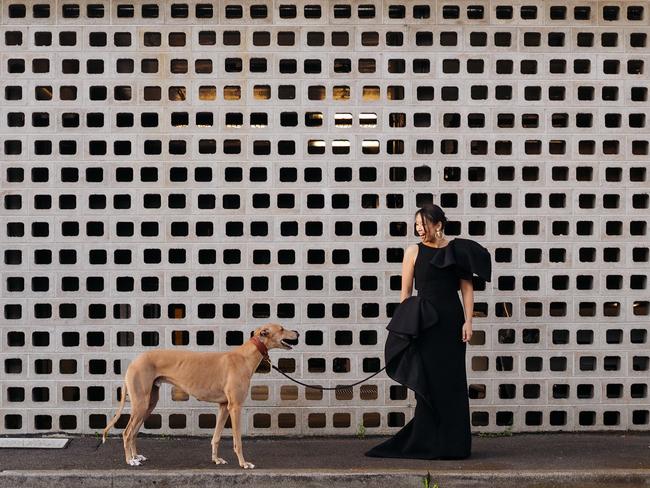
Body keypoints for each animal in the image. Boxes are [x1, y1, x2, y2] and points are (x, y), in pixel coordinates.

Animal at [102, 324, 298, 468]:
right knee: (127, 432)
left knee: (134, 432)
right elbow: (238, 440)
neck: (245, 356)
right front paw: (243, 463)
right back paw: (130, 460)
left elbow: (216, 437)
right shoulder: (235, 407)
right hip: (141, 403)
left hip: (149, 403)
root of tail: (134, 362)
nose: (296, 332)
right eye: (281, 328)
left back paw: (136, 456)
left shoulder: (224, 406)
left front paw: (216, 459)